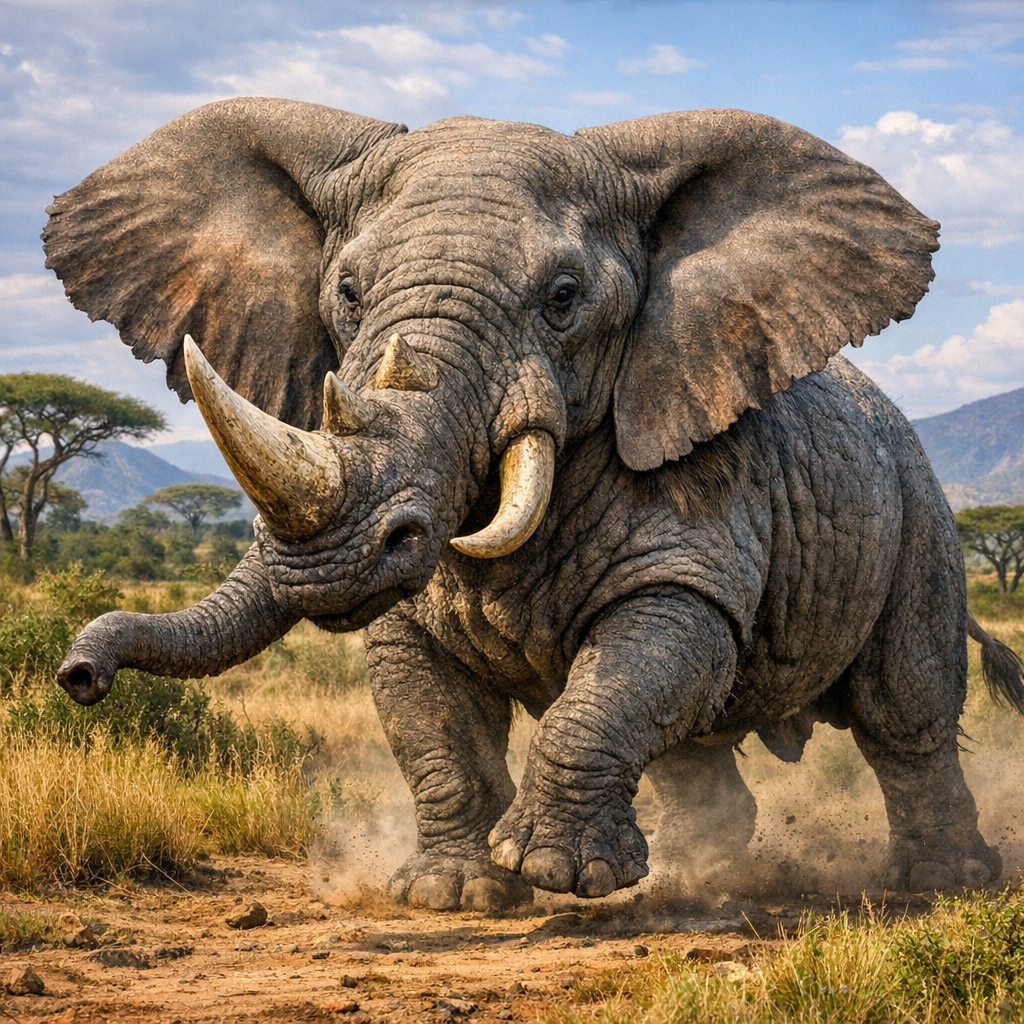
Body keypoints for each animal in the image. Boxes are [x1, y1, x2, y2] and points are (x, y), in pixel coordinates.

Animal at [46, 98, 1024, 910]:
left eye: (563, 299)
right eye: (347, 294)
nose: (79, 675)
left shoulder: (710, 490)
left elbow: (654, 643)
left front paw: (555, 872)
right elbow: (425, 706)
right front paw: (453, 896)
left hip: (915, 512)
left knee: (904, 712)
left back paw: (940, 885)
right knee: (698, 751)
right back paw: (695, 875)